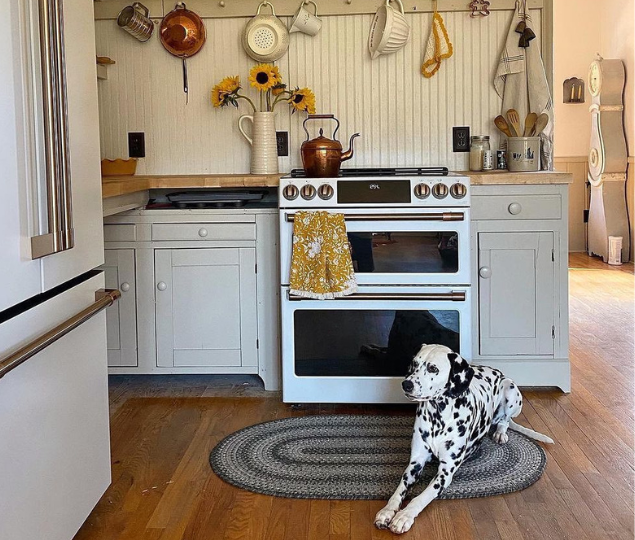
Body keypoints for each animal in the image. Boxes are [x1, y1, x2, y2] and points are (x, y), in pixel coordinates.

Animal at [376, 344, 556, 532]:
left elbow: (421, 497)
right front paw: (387, 511)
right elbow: (398, 491)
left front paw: (404, 516)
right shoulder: (415, 463)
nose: (406, 384)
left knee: (504, 421)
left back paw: (500, 432)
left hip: (510, 389)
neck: (438, 418)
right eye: (415, 364)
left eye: (433, 368)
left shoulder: (445, 473)